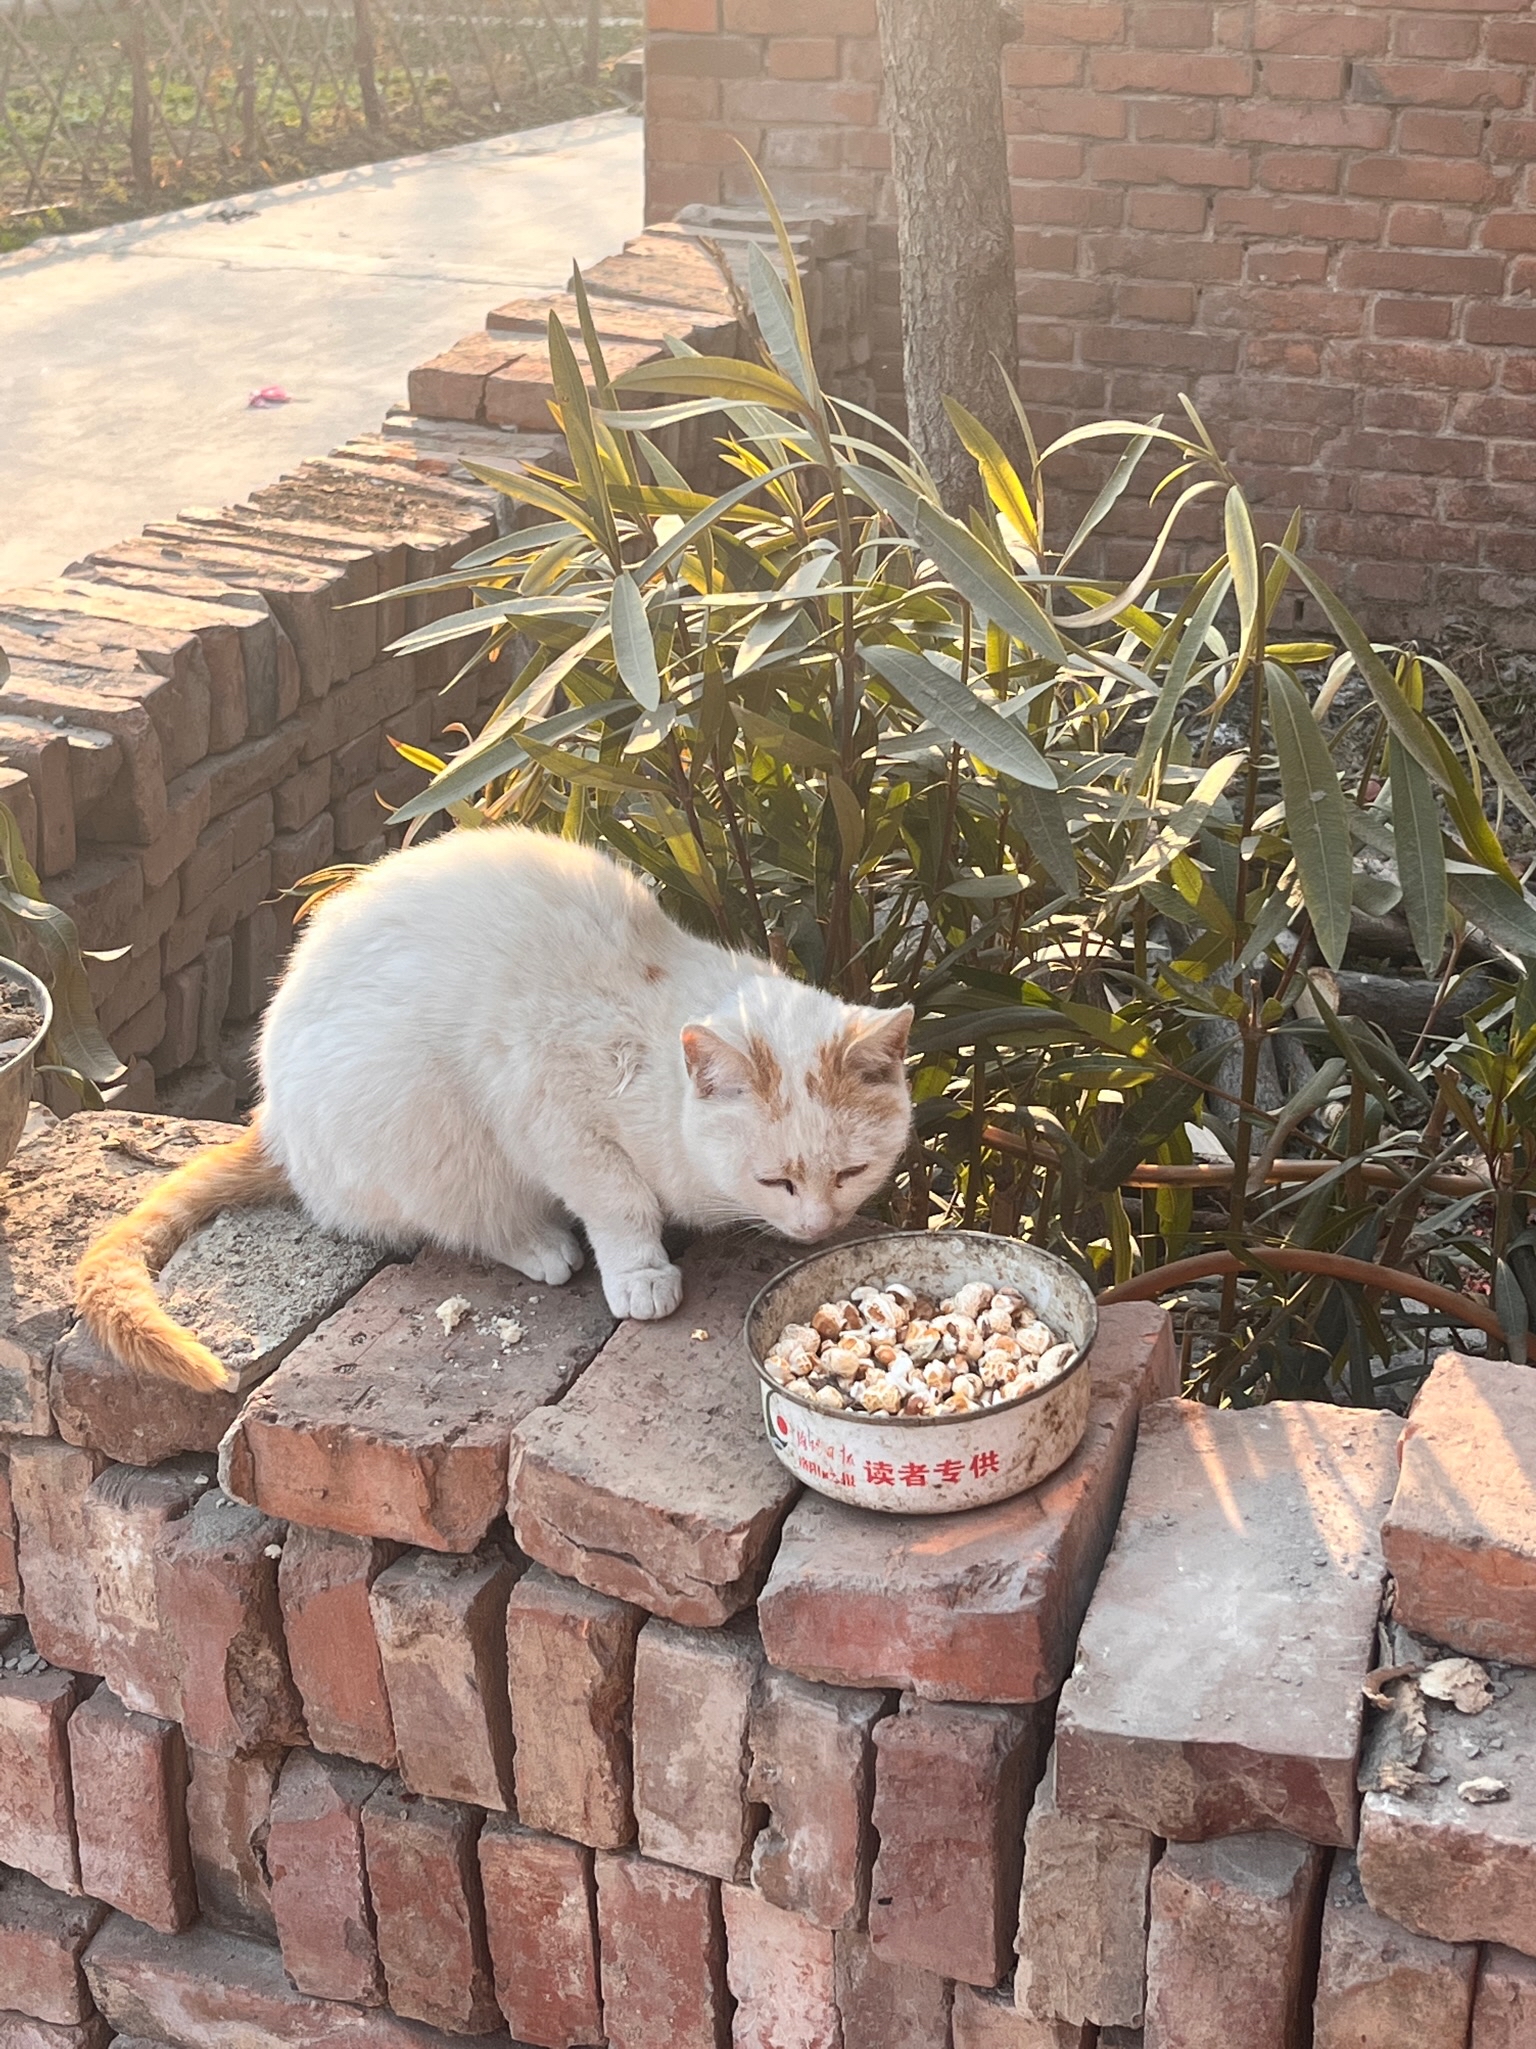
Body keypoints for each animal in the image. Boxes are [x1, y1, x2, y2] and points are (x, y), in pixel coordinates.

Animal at [78, 827, 913, 1393]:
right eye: (776, 1180)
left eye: (852, 1172)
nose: (818, 1226)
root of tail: (272, 1121)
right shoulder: (551, 1111)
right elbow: (620, 1202)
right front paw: (641, 1271)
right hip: (433, 1127)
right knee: (470, 1219)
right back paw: (541, 1245)